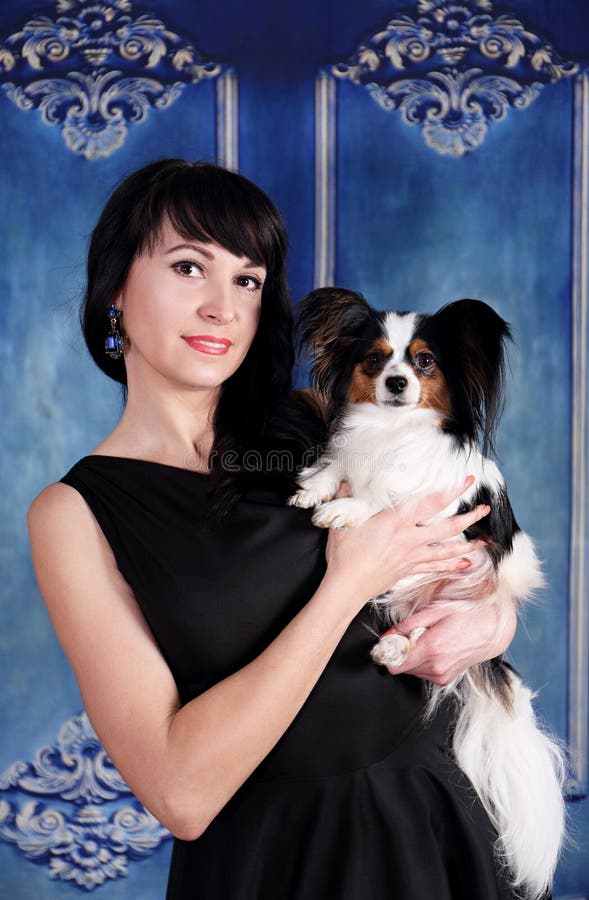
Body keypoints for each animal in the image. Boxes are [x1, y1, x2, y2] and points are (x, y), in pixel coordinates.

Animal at [290, 288, 564, 900]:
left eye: (424, 363)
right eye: (375, 361)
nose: (397, 383)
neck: (393, 432)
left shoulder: (446, 505)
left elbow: (389, 498)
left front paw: (349, 508)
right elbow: (340, 465)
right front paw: (317, 487)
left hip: (461, 598)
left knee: (425, 626)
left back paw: (396, 645)